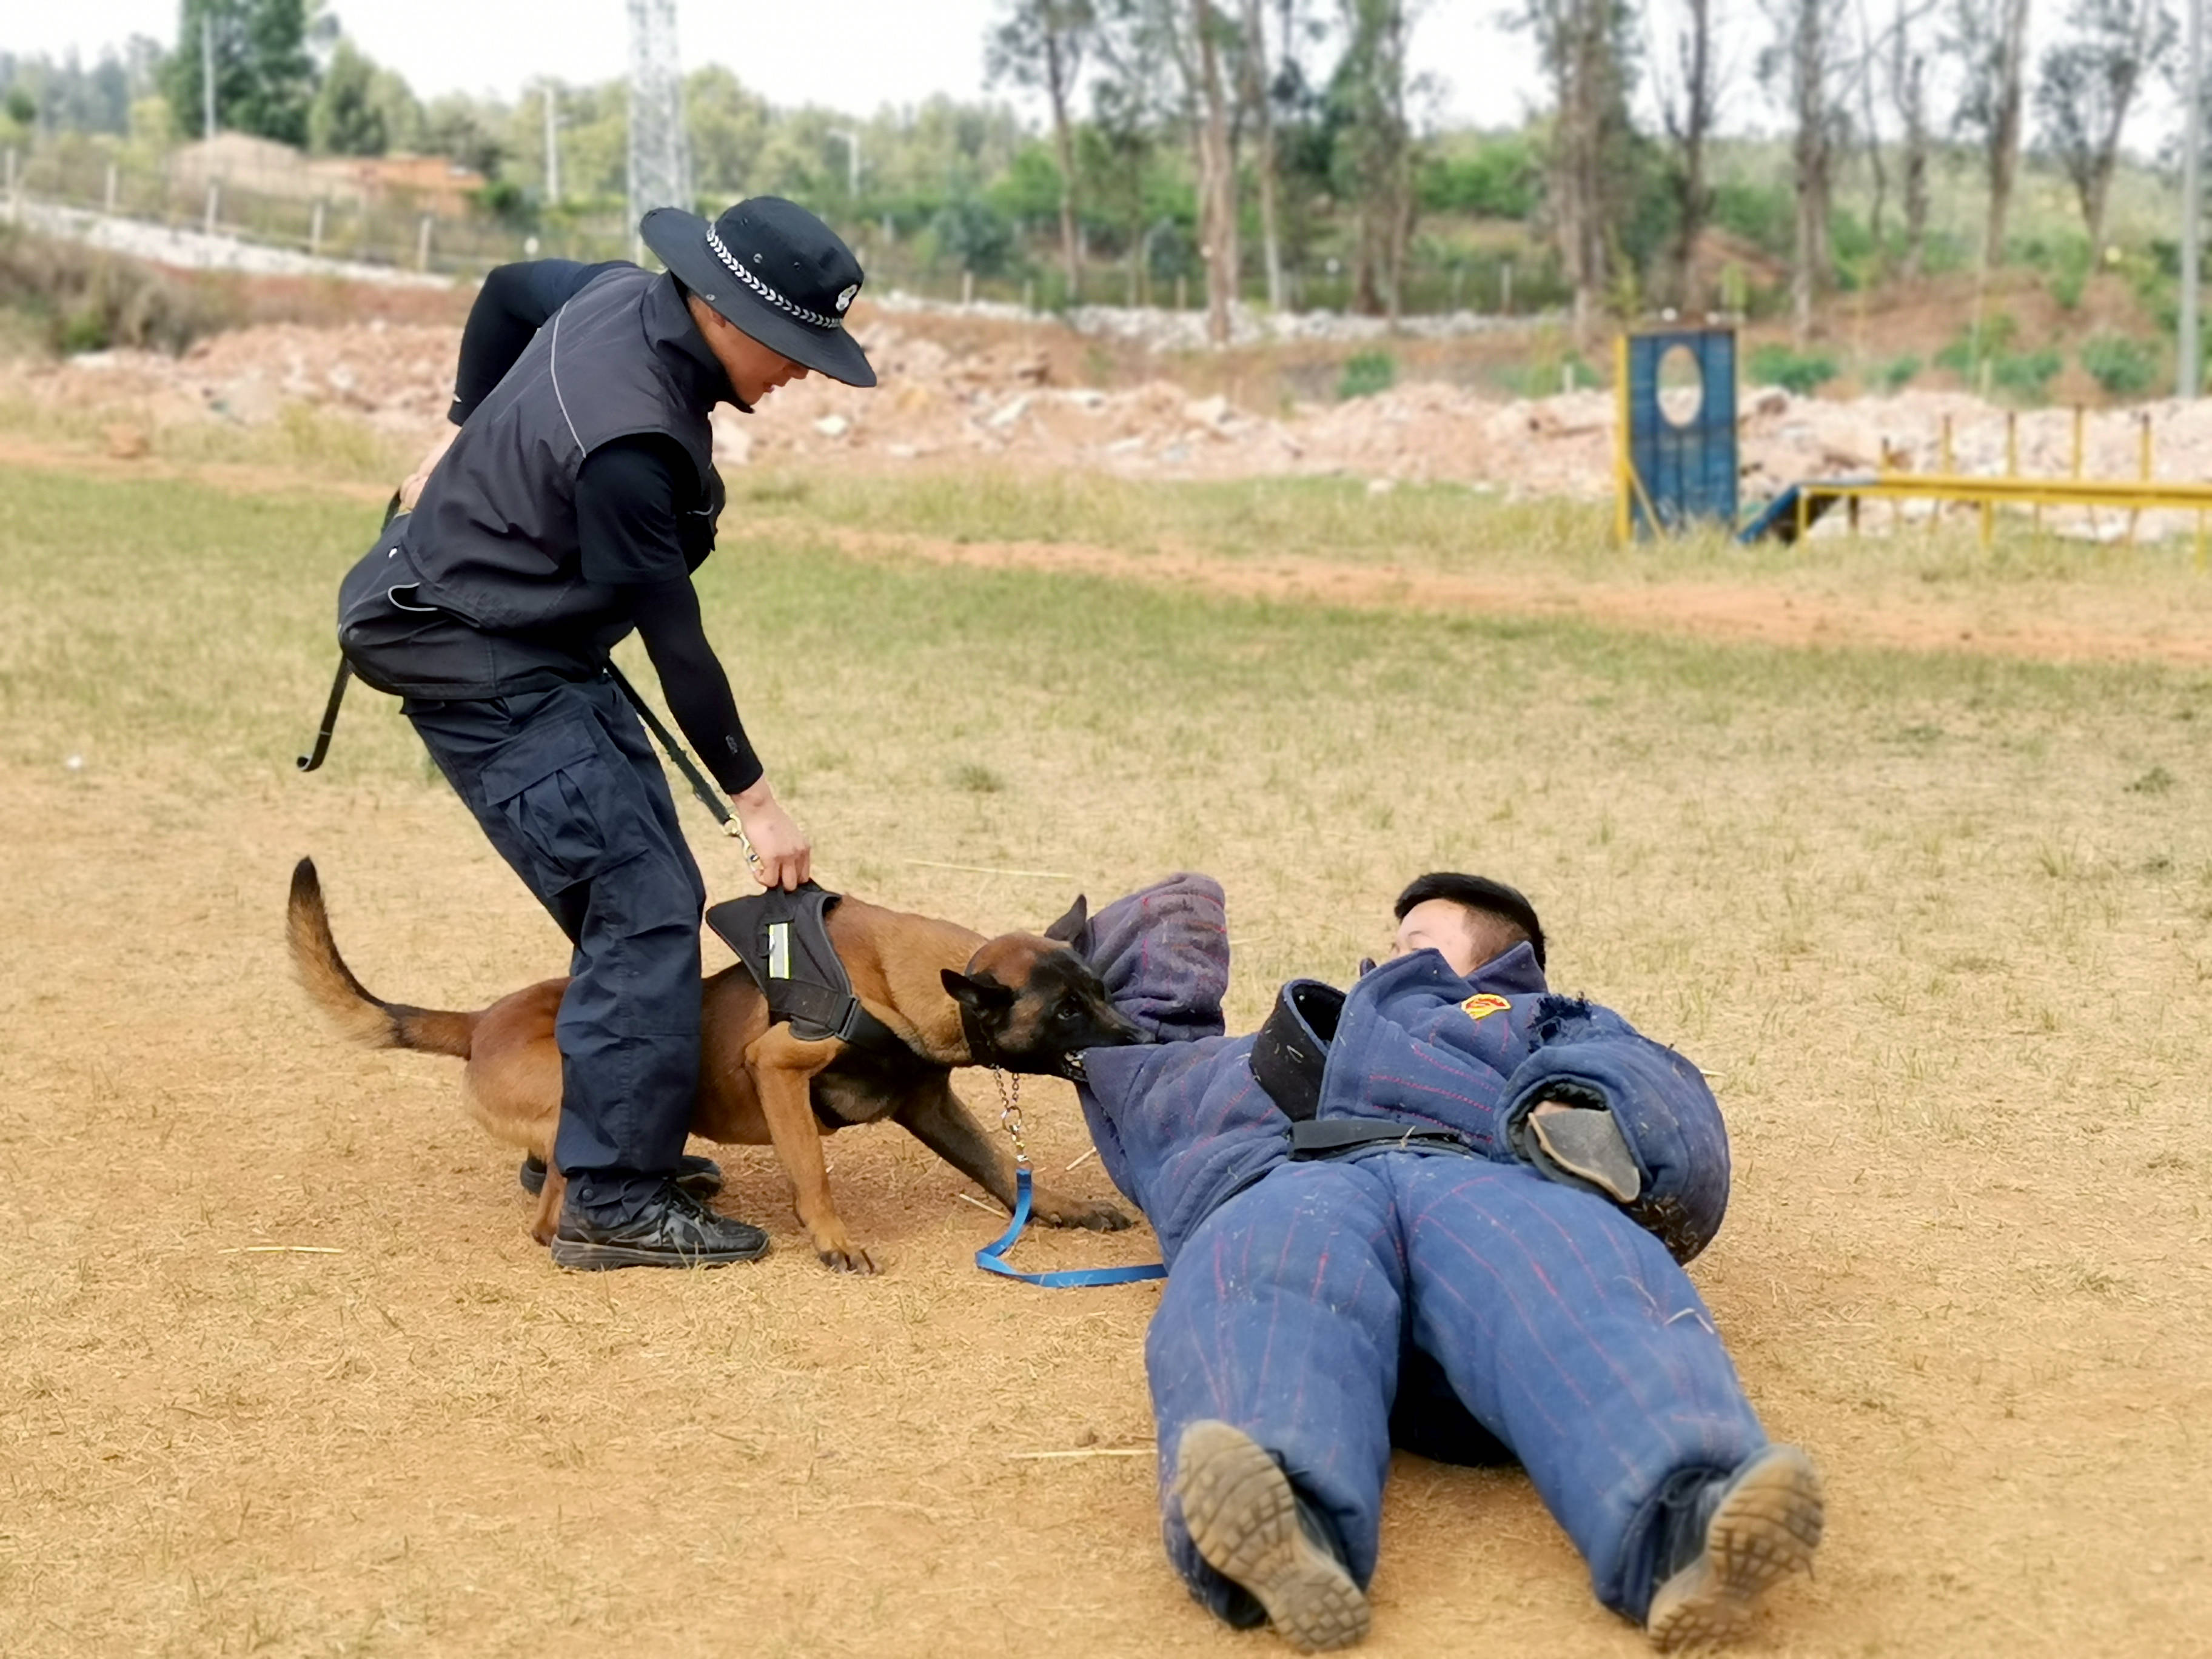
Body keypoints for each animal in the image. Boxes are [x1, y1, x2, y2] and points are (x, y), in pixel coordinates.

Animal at [285, 858, 1141, 1274]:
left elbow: (999, 1168)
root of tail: (481, 1020)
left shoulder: (930, 1105)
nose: (1141, 1036)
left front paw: (1063, 1208)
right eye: (1066, 1011)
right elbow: (813, 1174)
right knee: (550, 1216)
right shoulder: (779, 1068)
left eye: (1100, 989)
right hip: (571, 1089)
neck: (907, 979)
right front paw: (831, 1240)